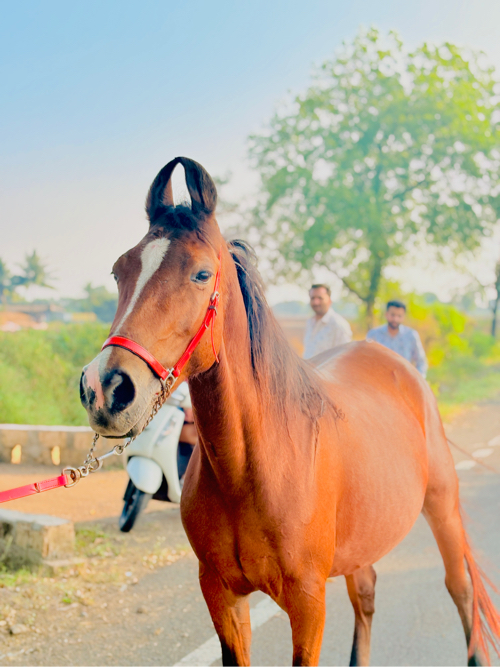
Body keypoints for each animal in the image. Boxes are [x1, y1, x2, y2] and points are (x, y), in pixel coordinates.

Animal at [80, 158, 498, 667]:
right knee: (366, 595)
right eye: (120, 271)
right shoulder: (222, 597)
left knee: (460, 590)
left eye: (201, 274)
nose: (105, 388)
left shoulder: (308, 602)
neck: (253, 468)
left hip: (443, 508)